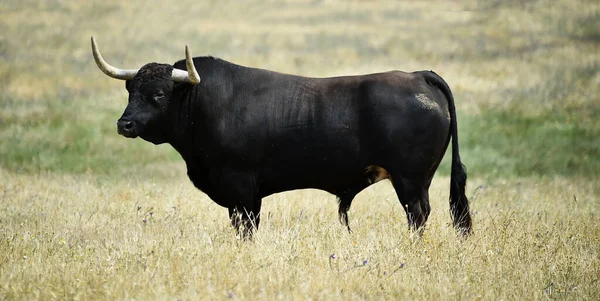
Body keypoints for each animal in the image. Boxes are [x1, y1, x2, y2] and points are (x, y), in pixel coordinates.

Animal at [91, 38, 472, 238]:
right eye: (131, 91)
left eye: (158, 94)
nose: (124, 124)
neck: (203, 103)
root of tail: (417, 75)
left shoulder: (242, 190)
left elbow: (246, 229)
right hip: (417, 182)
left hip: (409, 181)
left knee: (418, 216)